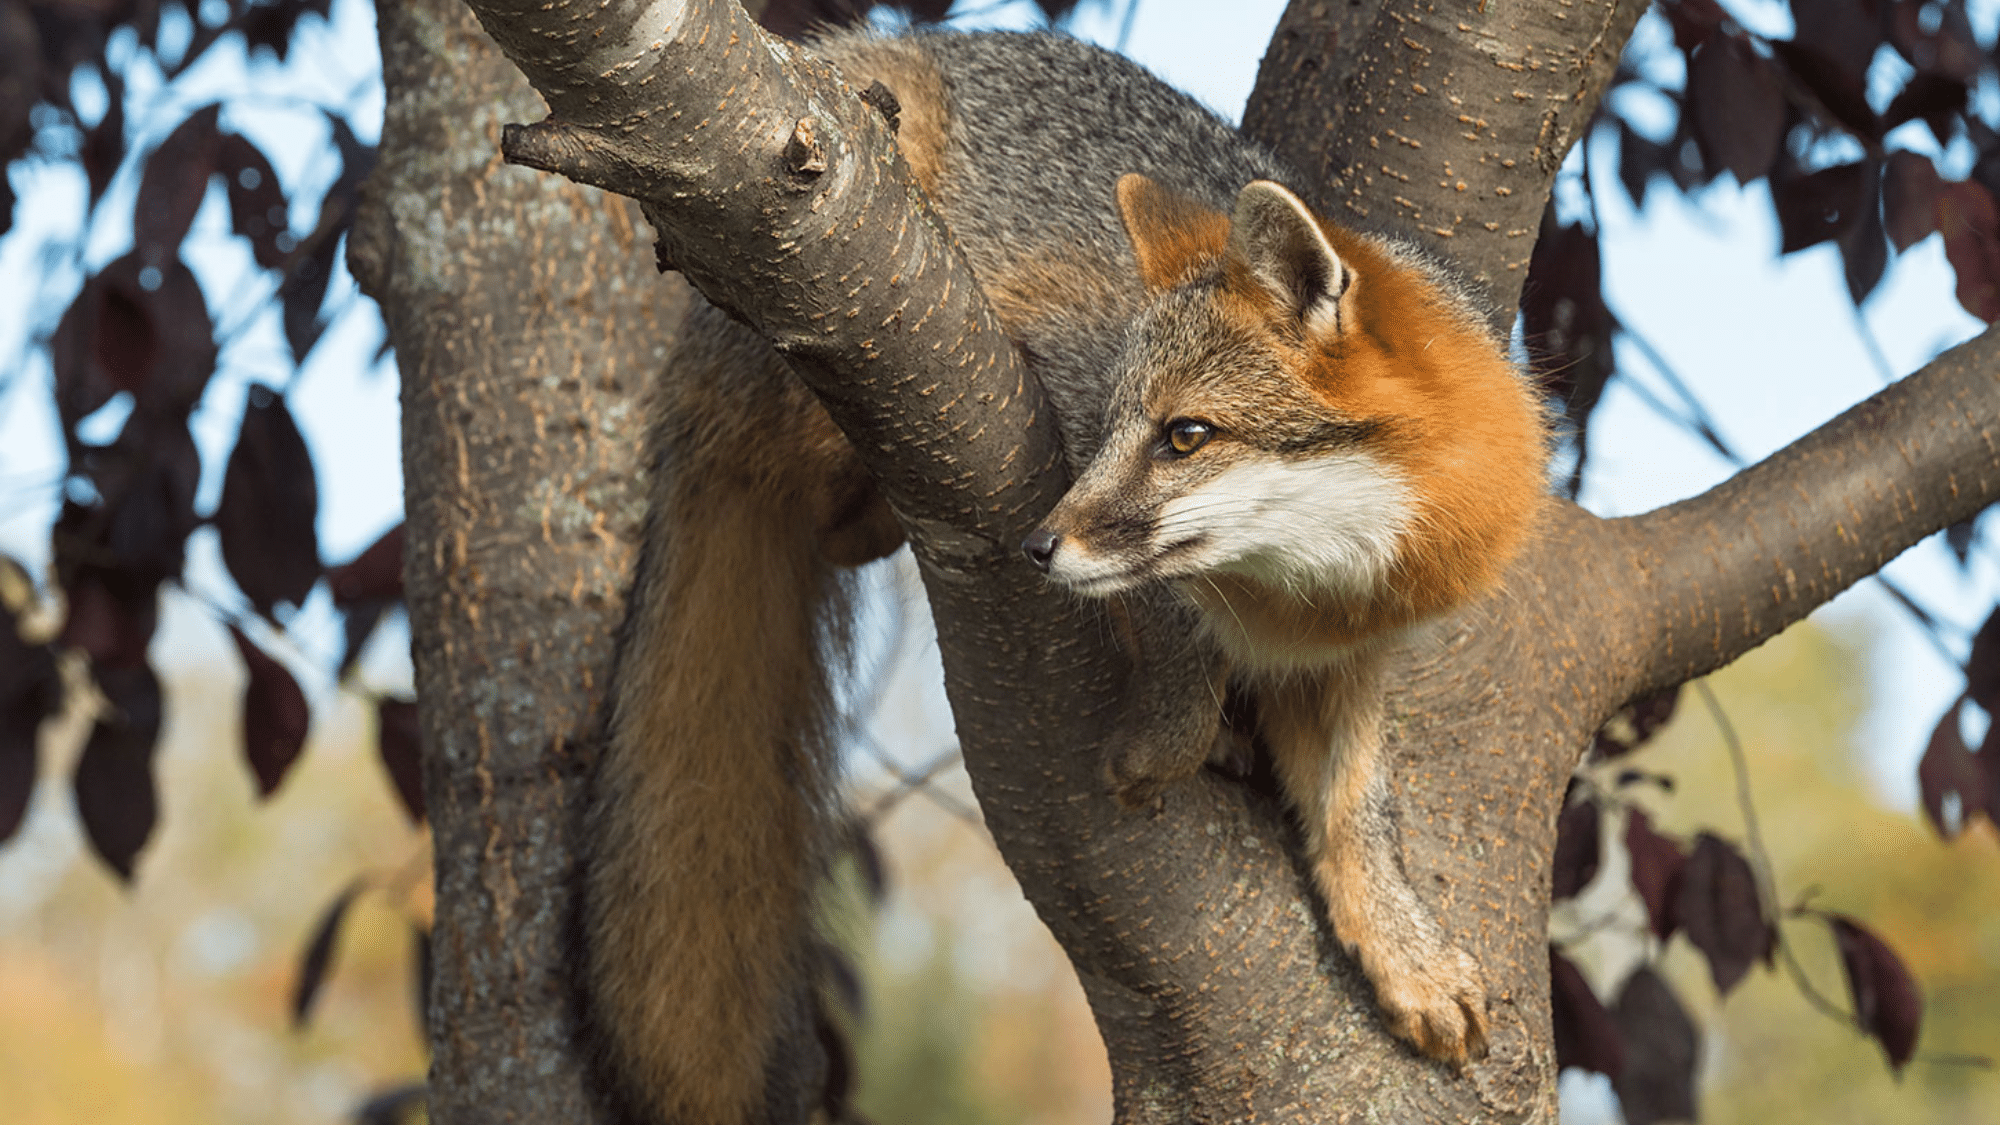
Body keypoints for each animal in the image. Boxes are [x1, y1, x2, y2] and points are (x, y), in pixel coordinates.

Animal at [584, 27, 1547, 1125]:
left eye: (1187, 436)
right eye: (1123, 423)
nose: (1037, 547)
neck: (1300, 595)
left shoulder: (1347, 656)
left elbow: (1358, 814)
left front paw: (1404, 953)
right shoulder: (1058, 380)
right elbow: (1172, 641)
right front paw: (1166, 739)